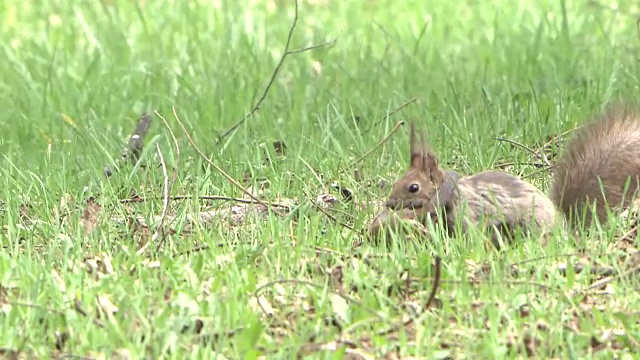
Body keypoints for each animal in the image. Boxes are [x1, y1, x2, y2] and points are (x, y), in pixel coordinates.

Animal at [368, 104, 640, 245]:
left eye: (413, 187)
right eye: (396, 182)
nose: (389, 204)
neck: (451, 194)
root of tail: (566, 228)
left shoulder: (469, 211)